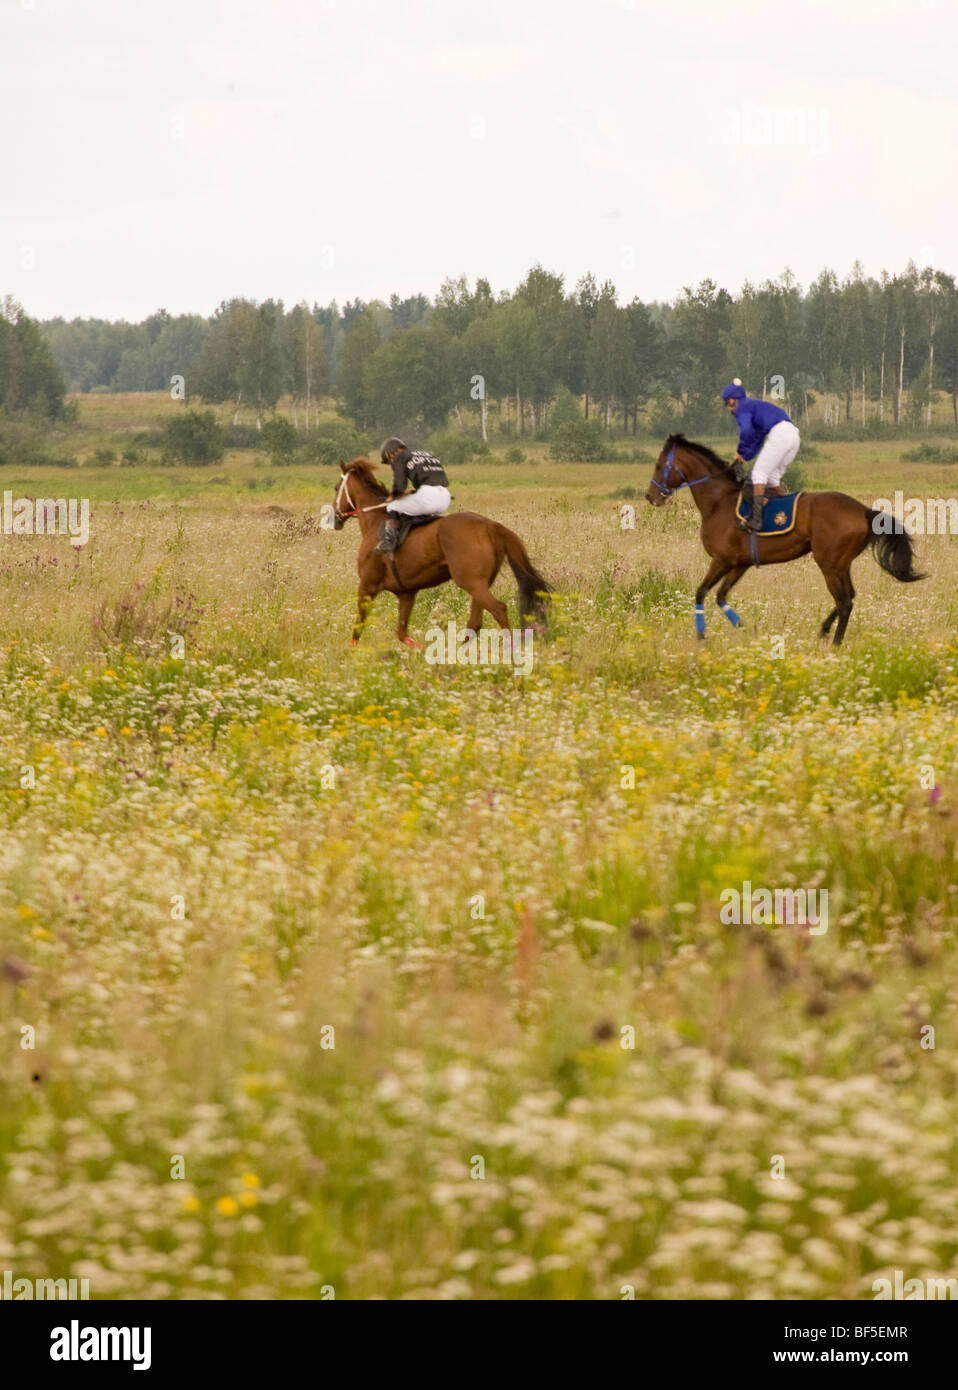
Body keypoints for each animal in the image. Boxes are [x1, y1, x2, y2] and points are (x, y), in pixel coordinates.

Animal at [332, 458, 550, 647]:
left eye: (335, 488)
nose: (336, 517)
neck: (375, 522)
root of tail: (490, 525)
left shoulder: (367, 586)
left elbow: (358, 628)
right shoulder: (406, 593)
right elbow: (402, 634)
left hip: (471, 582)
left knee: (498, 610)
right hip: (479, 584)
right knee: (475, 623)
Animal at [645, 433, 923, 644]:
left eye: (658, 466)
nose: (650, 496)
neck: (718, 502)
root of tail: (864, 510)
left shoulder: (721, 561)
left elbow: (701, 593)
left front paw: (702, 636)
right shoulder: (739, 564)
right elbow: (720, 596)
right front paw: (746, 629)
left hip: (828, 563)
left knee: (845, 602)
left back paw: (835, 642)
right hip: (841, 564)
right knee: (850, 596)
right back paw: (824, 630)